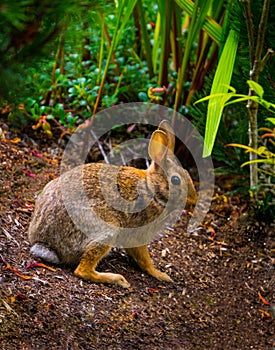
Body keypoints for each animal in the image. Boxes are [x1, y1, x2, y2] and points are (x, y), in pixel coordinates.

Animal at [28, 120, 198, 288]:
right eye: (175, 180)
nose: (194, 201)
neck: (153, 190)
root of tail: (46, 244)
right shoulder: (139, 233)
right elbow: (144, 259)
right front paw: (160, 274)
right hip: (107, 229)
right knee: (82, 270)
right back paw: (118, 279)